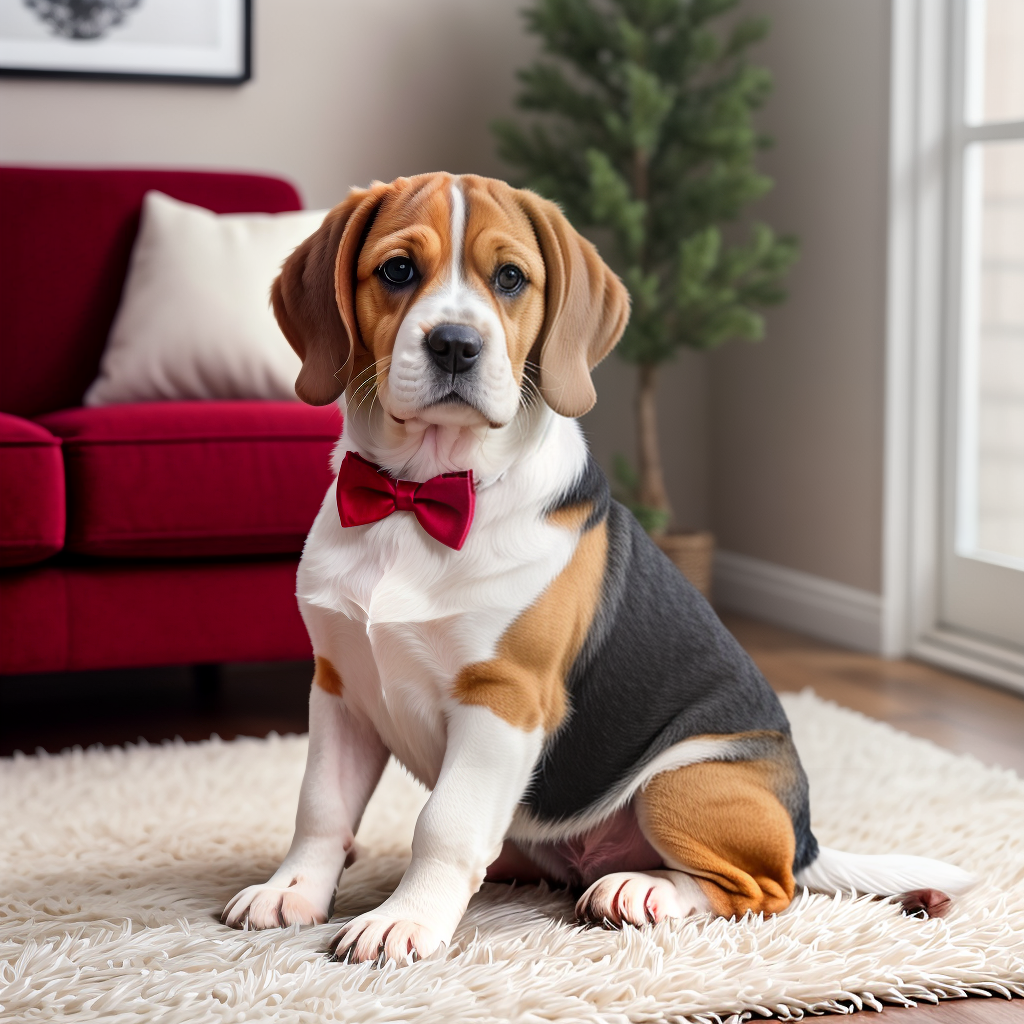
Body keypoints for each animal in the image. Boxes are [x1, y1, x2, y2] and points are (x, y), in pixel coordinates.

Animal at [222, 172, 966, 962]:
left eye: (510, 278)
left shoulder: (504, 698)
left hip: (686, 781)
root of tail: (805, 836)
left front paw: (407, 920)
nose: (455, 345)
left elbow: (444, 823)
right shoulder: (340, 688)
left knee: (760, 889)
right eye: (397, 270)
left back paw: (641, 889)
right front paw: (292, 891)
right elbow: (320, 808)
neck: (418, 497)